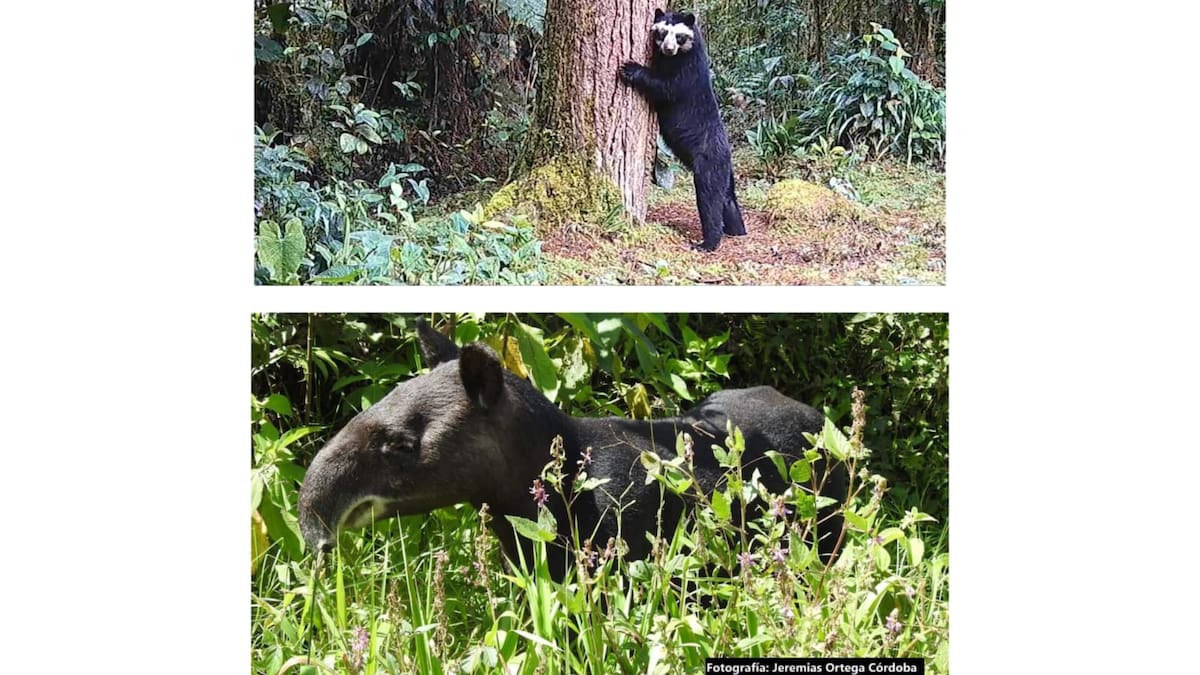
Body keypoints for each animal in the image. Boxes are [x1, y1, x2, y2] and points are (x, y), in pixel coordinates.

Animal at [619, 9, 746, 252]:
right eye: (662, 31)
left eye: (679, 36)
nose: (668, 48)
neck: (677, 57)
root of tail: (726, 154)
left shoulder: (688, 72)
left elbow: (666, 87)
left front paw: (630, 68)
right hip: (724, 172)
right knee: (728, 198)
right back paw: (737, 230)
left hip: (707, 163)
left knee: (709, 199)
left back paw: (708, 242)